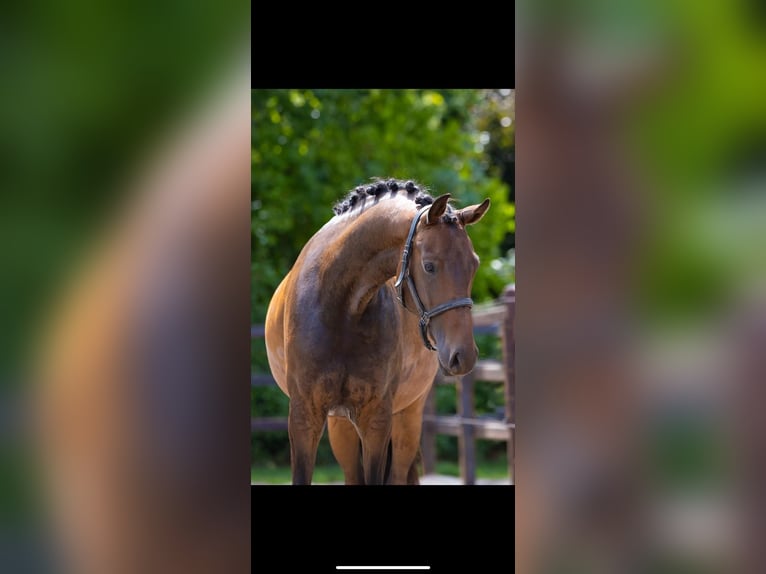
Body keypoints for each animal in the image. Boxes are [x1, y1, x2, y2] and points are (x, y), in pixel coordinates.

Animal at [265, 179, 490, 484]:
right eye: (429, 266)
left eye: (473, 265)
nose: (463, 356)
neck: (341, 308)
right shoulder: (303, 417)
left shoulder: (376, 420)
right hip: (341, 425)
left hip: (407, 418)